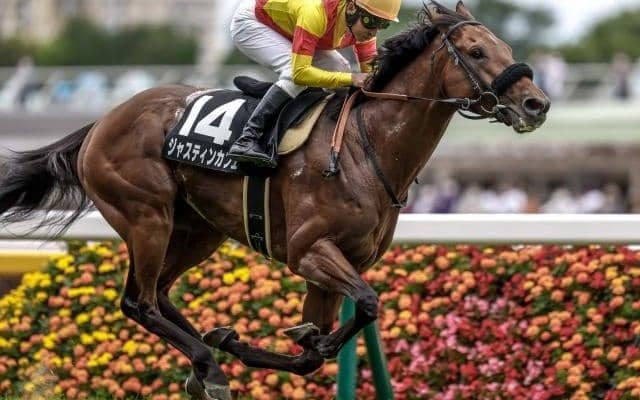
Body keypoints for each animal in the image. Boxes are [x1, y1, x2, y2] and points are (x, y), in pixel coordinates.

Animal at [0, 2, 549, 399]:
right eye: (476, 52)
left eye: (504, 46)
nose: (536, 104)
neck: (365, 145)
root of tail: (101, 123)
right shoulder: (309, 252)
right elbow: (368, 303)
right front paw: (295, 338)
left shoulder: (336, 265)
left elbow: (317, 352)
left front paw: (265, 339)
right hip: (145, 216)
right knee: (139, 301)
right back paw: (208, 366)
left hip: (198, 230)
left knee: (161, 295)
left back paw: (206, 358)